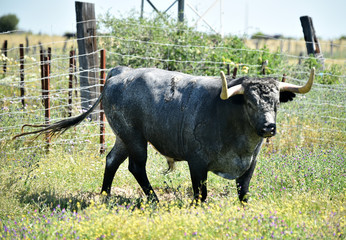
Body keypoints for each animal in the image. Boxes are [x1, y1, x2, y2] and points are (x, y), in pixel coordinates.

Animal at [14, 66, 314, 202]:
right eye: (250, 102)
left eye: (275, 103)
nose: (268, 127)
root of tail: (119, 73)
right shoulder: (197, 162)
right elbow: (201, 193)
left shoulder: (250, 165)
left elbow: (243, 192)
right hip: (135, 138)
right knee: (136, 167)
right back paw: (154, 200)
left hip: (123, 137)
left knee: (111, 160)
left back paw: (105, 196)